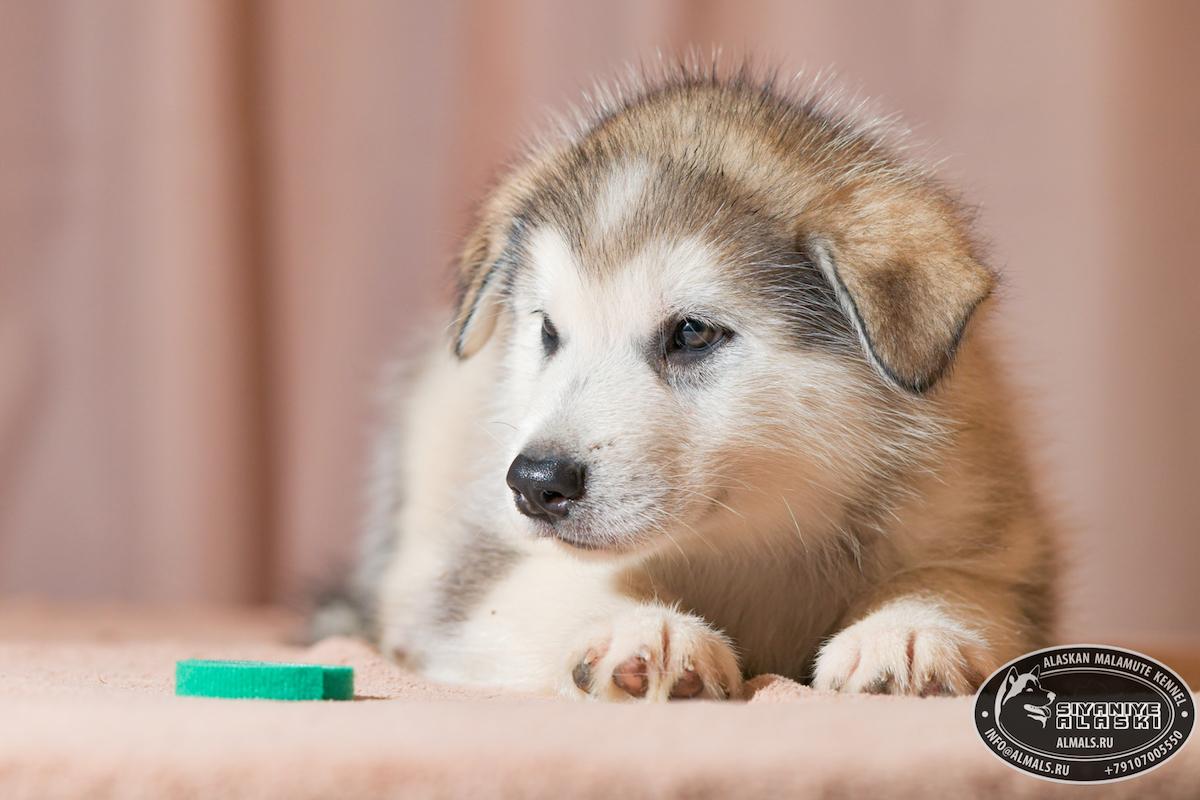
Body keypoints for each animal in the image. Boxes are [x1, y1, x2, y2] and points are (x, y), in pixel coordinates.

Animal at [321, 64, 1060, 700]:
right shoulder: (466, 578)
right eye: (548, 331)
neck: (750, 542)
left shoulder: (995, 536)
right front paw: (639, 626)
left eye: (692, 334)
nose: (535, 482)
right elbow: (555, 582)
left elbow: (961, 581)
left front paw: (909, 632)